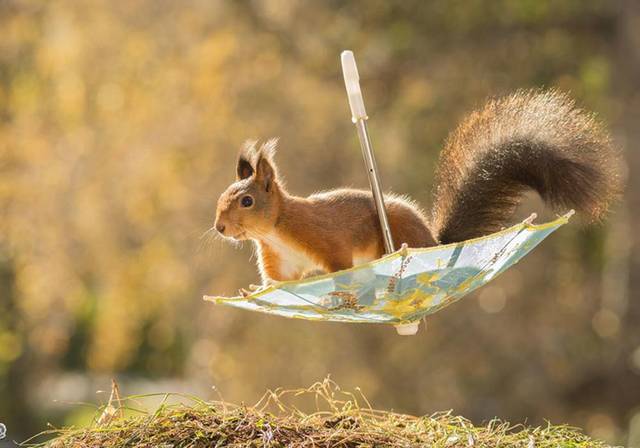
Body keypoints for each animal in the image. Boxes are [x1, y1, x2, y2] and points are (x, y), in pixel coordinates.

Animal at [214, 89, 620, 292]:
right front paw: (256, 292)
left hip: (396, 231)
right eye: (221, 198)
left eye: (247, 201)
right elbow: (278, 282)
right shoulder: (279, 260)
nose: (219, 228)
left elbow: (339, 264)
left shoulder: (326, 239)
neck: (277, 229)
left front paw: (338, 287)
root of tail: (433, 243)